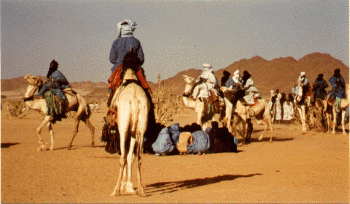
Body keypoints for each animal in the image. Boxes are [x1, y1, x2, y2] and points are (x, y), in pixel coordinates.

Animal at [109, 52, 150, 196]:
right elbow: (130, 156)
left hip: (123, 128)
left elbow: (125, 155)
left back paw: (116, 190)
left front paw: (124, 186)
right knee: (138, 157)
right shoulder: (134, 131)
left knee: (122, 157)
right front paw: (129, 186)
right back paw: (141, 189)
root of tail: (135, 99)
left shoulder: (124, 129)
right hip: (140, 128)